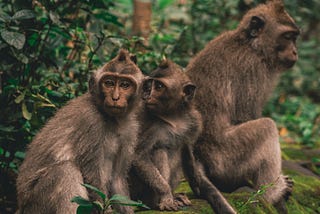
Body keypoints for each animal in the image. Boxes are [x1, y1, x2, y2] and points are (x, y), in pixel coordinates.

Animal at [15, 49, 144, 214]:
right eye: (108, 83)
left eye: (125, 85)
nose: (115, 97)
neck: (113, 120)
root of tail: (20, 205)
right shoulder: (91, 122)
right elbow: (92, 177)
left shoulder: (131, 130)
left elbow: (117, 179)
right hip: (35, 203)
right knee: (65, 171)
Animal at [127, 59, 235, 212]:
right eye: (150, 85)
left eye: (159, 86)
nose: (148, 95)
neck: (174, 117)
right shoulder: (154, 126)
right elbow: (138, 156)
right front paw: (166, 195)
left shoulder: (195, 120)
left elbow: (187, 150)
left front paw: (198, 184)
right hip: (136, 191)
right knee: (159, 150)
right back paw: (156, 201)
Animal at [185, 0, 300, 213]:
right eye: (287, 37)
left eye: (294, 37)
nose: (295, 51)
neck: (250, 44)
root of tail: (197, 155)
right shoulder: (253, 69)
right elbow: (245, 115)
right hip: (226, 159)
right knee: (266, 127)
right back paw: (271, 194)